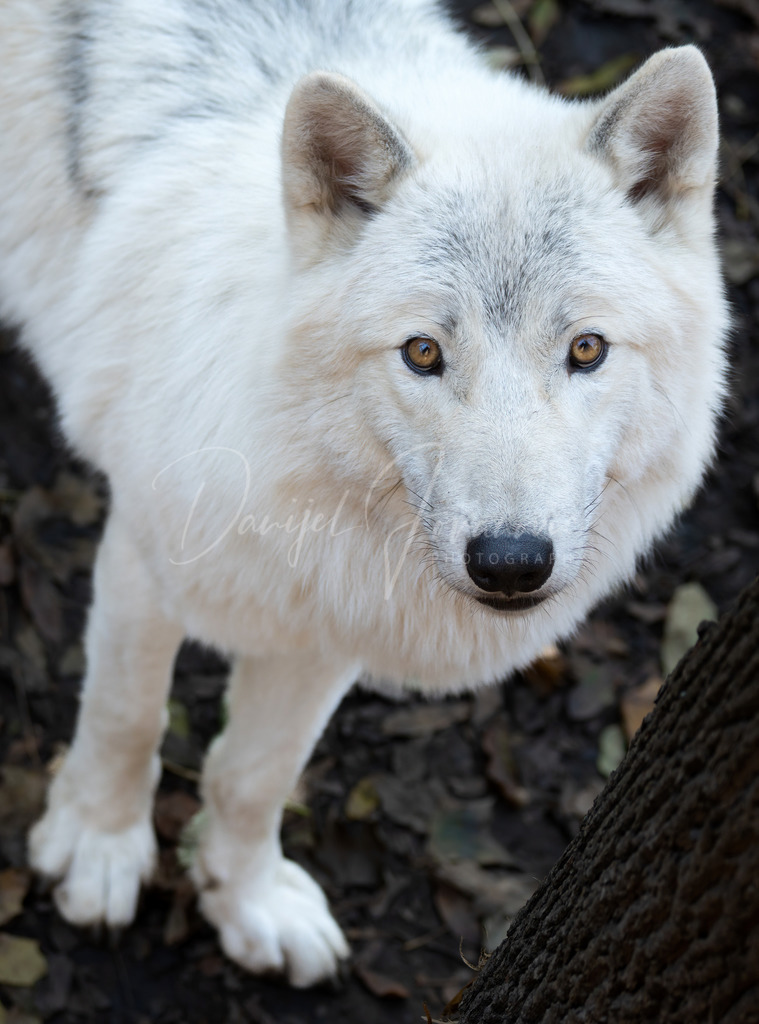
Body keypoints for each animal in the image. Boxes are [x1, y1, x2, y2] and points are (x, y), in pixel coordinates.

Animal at [0, 0, 726, 989]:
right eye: (422, 352)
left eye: (585, 349)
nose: (510, 563)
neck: (287, 472)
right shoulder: (145, 560)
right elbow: (126, 716)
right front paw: (99, 849)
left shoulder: (331, 618)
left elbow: (253, 774)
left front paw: (245, 899)